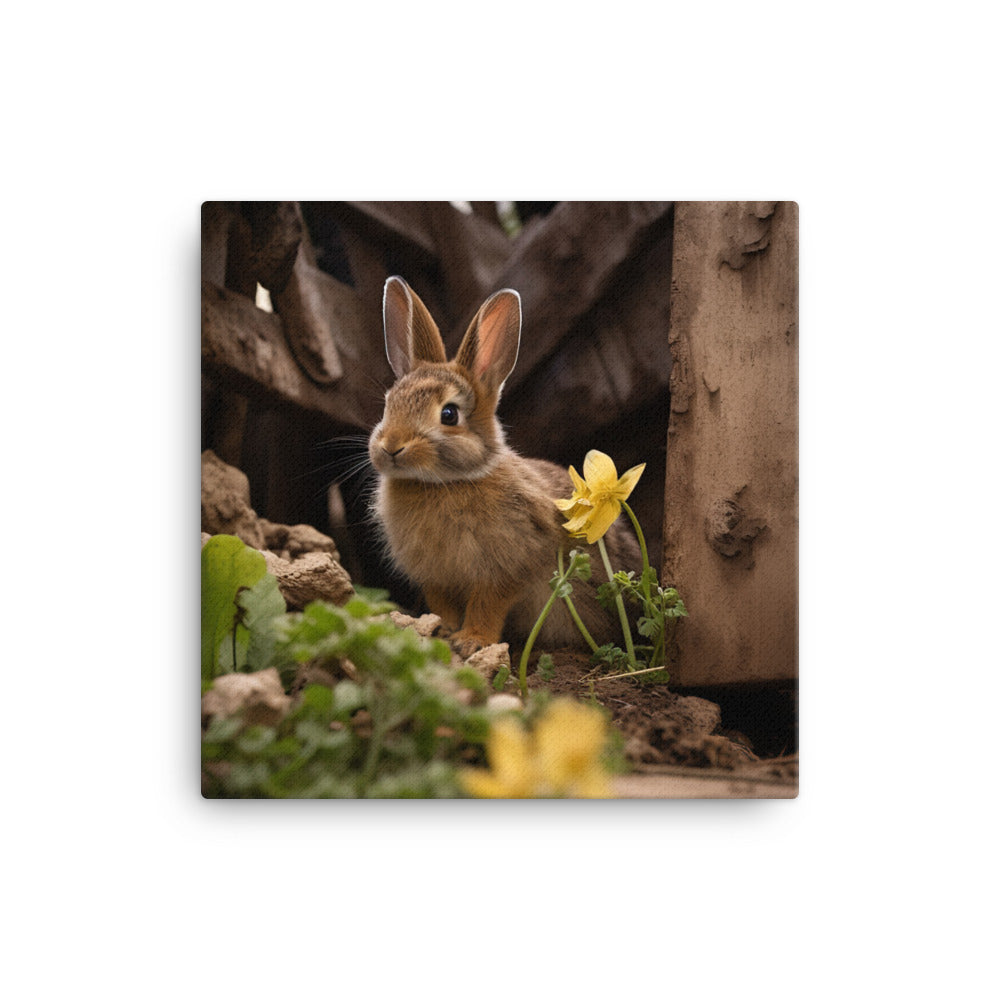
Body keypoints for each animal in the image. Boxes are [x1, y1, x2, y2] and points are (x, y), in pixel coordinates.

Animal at [368, 275, 641, 658]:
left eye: (449, 414)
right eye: (388, 405)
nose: (391, 447)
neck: (444, 482)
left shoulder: (509, 566)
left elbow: (488, 603)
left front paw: (472, 641)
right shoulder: (435, 577)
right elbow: (443, 605)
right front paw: (441, 631)